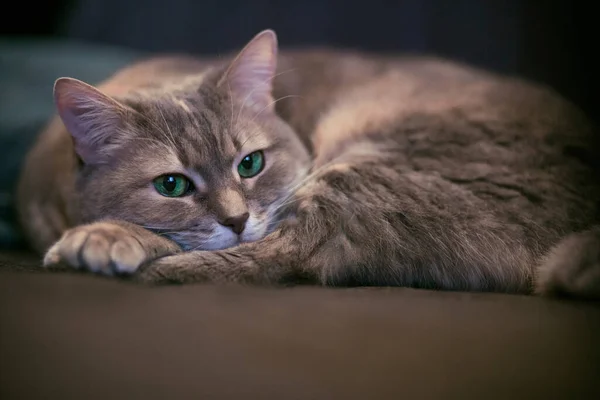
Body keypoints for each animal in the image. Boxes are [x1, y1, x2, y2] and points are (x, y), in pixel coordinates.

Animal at [16, 28, 600, 296]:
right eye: (172, 185)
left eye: (250, 164)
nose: (236, 219)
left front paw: (106, 238)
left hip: (372, 166)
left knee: (285, 253)